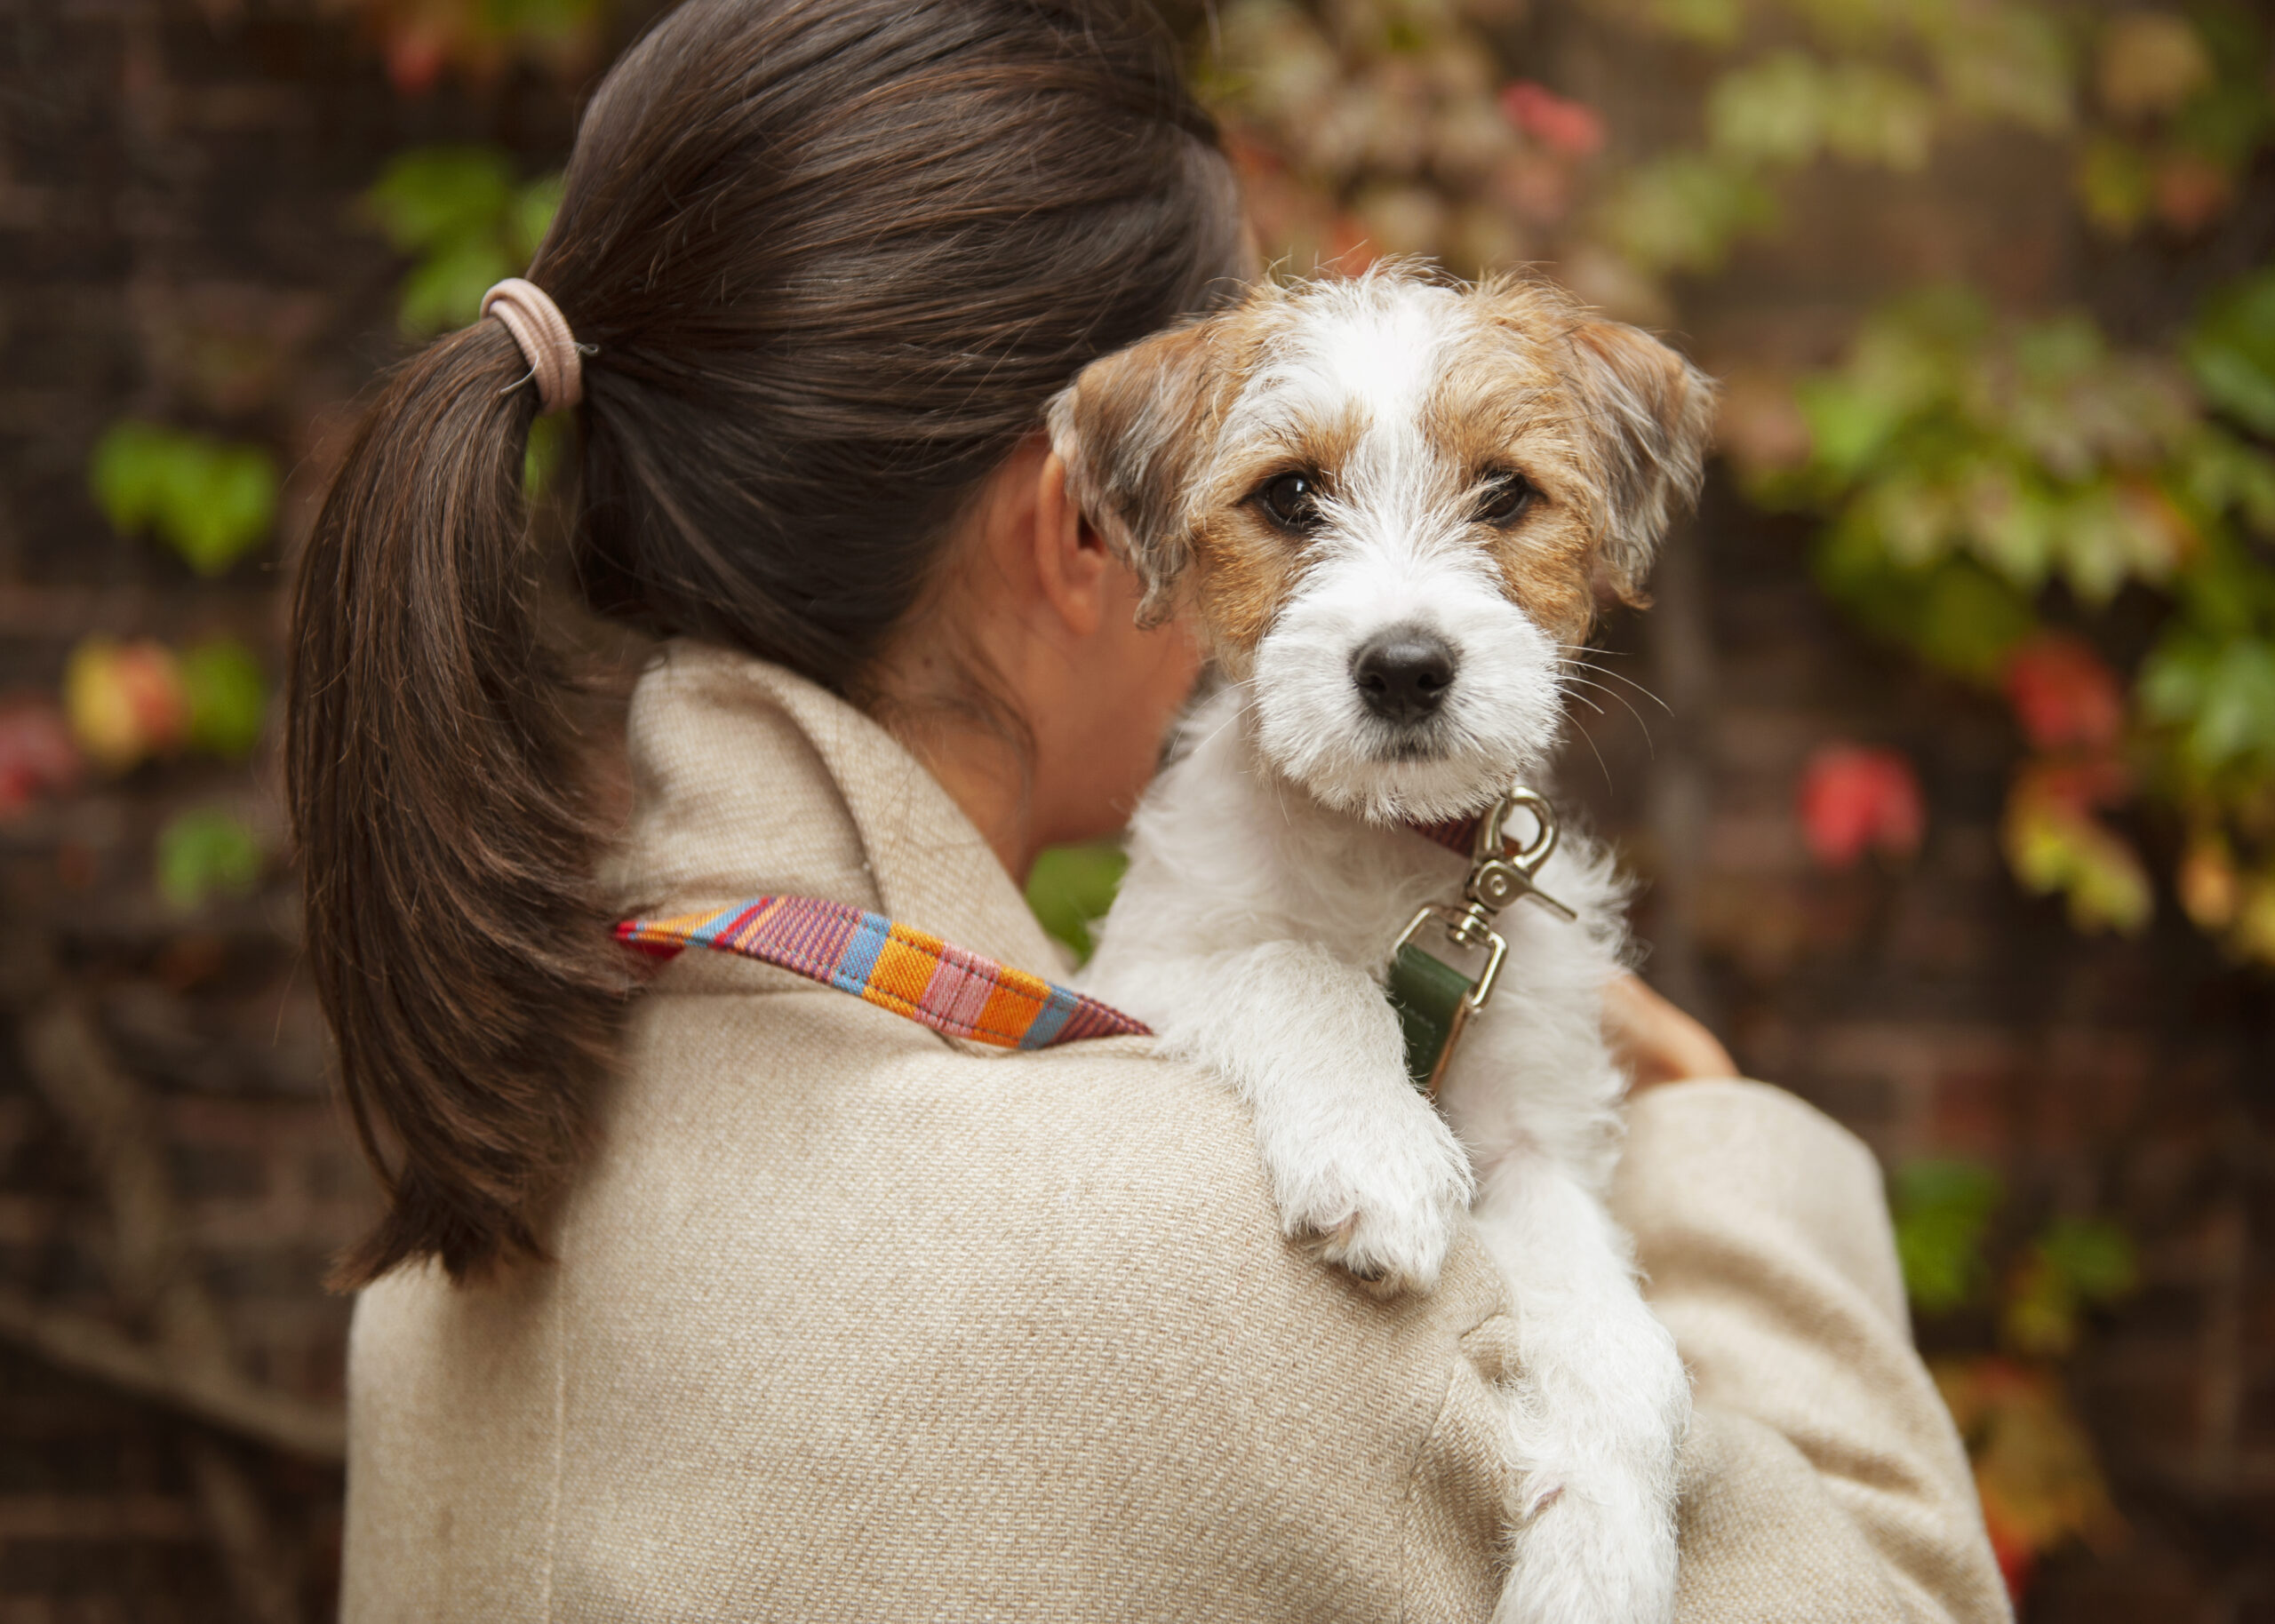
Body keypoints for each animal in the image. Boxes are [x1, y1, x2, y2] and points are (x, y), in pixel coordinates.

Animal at [1055, 268, 1711, 1619]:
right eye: (1289, 496)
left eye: (1504, 491)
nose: (1406, 668)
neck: (1385, 847)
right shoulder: (1132, 972)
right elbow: (1293, 968)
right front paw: (1379, 1156)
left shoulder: (1532, 1140)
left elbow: (1627, 1354)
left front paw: (1598, 1563)